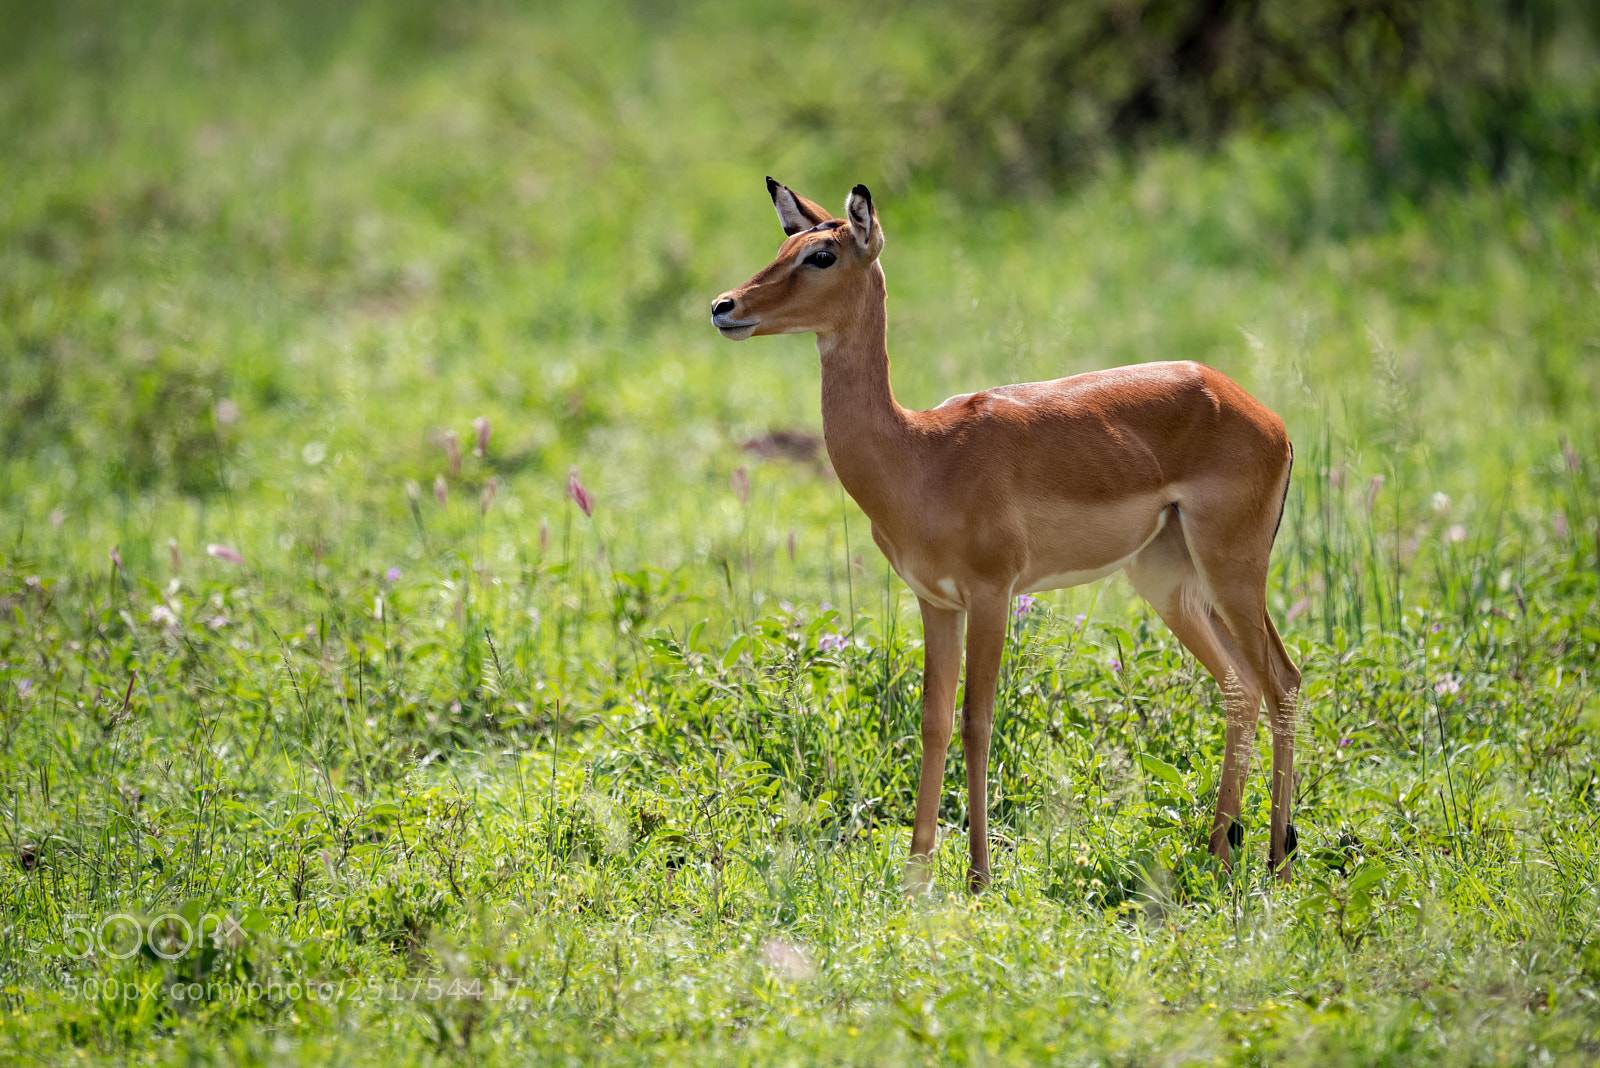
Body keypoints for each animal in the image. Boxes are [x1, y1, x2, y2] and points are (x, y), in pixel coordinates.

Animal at [711, 178, 1301, 891]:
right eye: (782, 246)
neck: (920, 454)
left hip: (1233, 570)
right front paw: (917, 874)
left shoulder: (991, 594)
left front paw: (978, 876)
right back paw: (1219, 851)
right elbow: (933, 721)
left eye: (821, 254)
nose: (724, 307)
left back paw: (1277, 859)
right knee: (1241, 686)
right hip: (1168, 582)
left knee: (1283, 682)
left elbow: (976, 721)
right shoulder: (935, 601)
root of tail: (1263, 416)